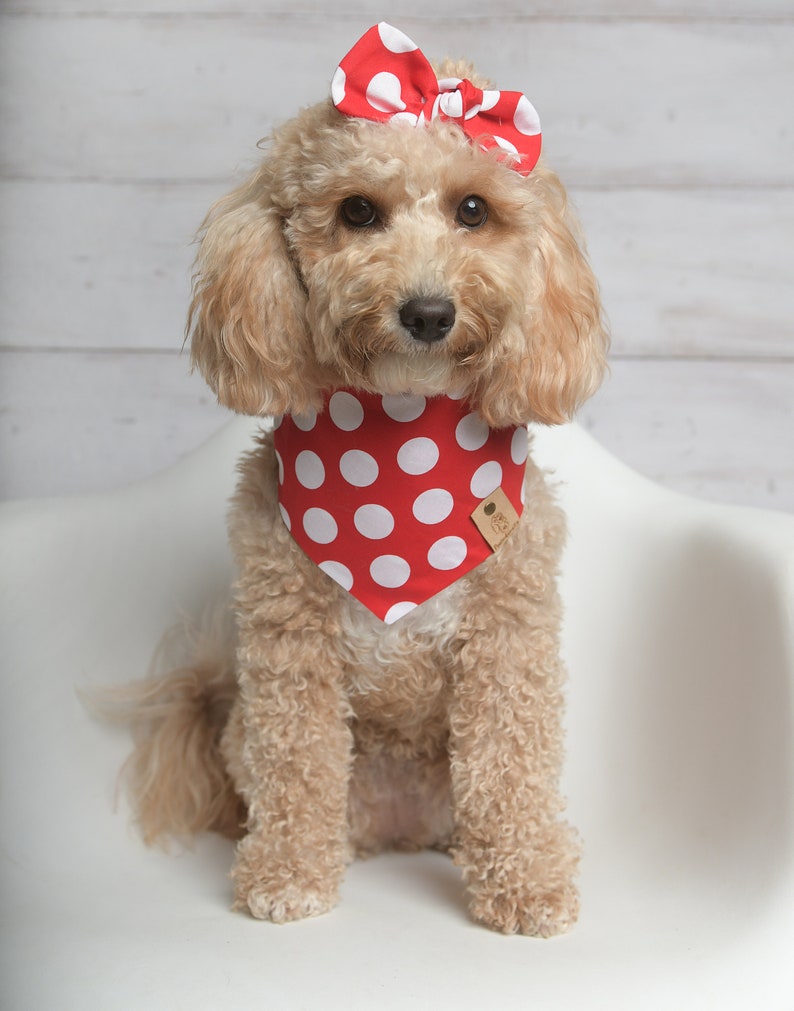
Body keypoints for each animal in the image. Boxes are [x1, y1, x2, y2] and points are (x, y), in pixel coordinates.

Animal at [106, 25, 606, 938]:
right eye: (357, 212)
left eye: (473, 210)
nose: (428, 312)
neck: (398, 456)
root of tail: (403, 827)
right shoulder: (289, 640)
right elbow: (297, 761)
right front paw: (286, 876)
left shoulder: (507, 637)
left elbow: (511, 764)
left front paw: (529, 885)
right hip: (261, 728)